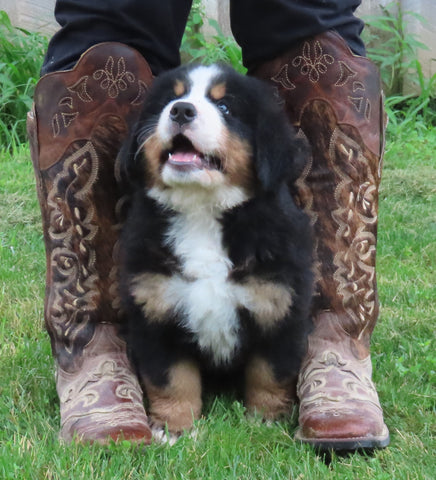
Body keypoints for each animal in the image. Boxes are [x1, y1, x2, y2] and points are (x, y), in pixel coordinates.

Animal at [119, 63, 314, 442]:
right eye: (170, 99)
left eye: (225, 107)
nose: (181, 110)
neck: (201, 212)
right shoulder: (155, 309)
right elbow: (171, 378)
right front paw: (175, 430)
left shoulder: (279, 307)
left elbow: (269, 373)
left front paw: (265, 420)